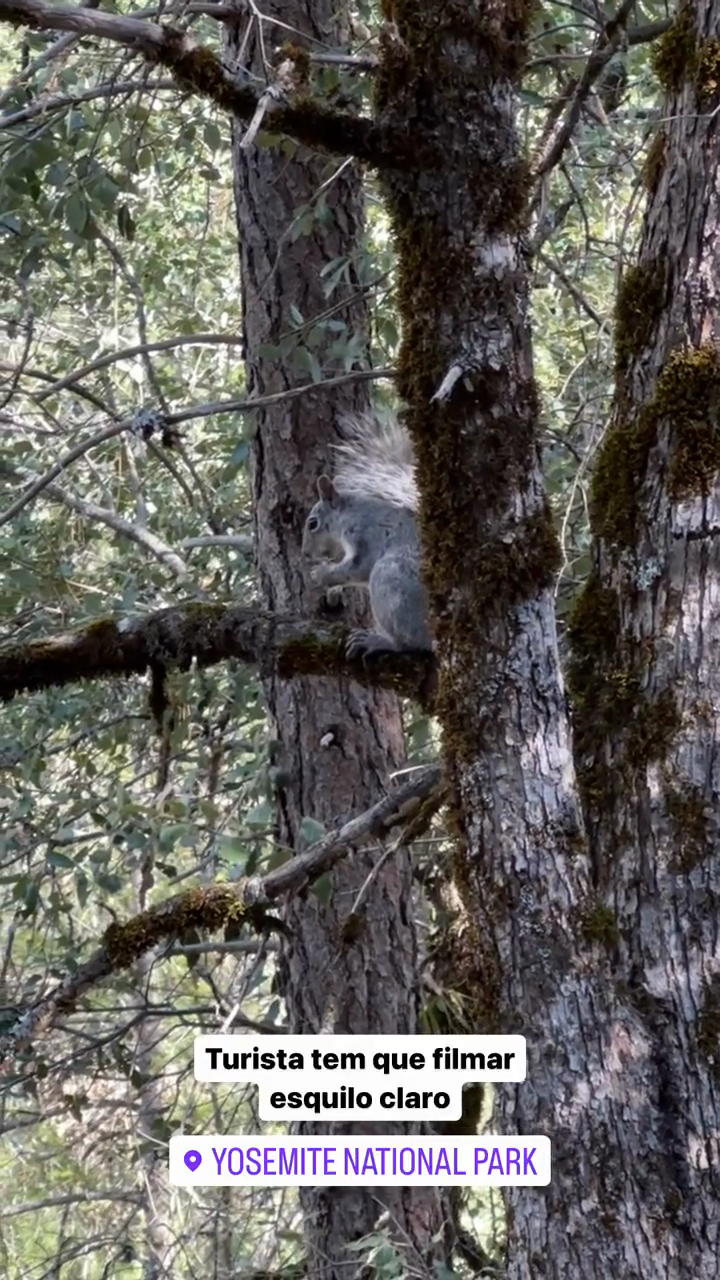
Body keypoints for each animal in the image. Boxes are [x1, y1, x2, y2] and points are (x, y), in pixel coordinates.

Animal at [301, 412, 430, 660]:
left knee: (412, 642)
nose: (305, 554)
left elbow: (359, 567)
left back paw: (381, 641)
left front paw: (322, 574)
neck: (349, 512)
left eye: (312, 524)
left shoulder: (366, 533)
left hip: (391, 581)